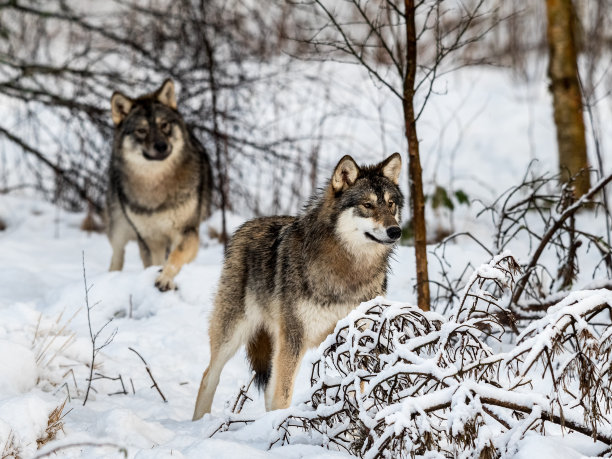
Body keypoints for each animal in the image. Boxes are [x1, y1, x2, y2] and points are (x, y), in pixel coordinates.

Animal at [104, 79, 212, 292]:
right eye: (141, 130)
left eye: (164, 125)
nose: (161, 146)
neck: (156, 186)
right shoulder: (149, 238)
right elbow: (154, 262)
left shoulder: (187, 232)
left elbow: (175, 257)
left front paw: (165, 278)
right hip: (118, 227)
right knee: (117, 254)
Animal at [191, 153, 402, 418]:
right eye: (368, 205)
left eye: (391, 204)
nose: (396, 231)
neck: (349, 270)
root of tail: (246, 225)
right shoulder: (294, 338)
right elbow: (282, 397)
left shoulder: (358, 337)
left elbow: (358, 388)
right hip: (234, 333)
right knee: (208, 376)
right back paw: (199, 422)